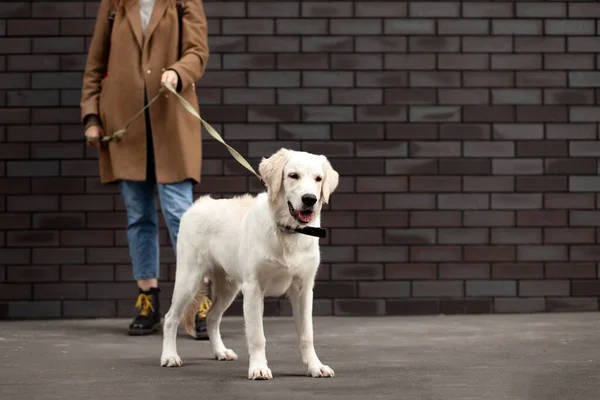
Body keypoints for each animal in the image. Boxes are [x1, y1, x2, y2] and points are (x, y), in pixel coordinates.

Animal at [161, 148, 338, 380]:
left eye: (318, 179)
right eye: (293, 175)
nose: (310, 199)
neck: (287, 231)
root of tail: (198, 204)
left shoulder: (303, 289)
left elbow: (307, 334)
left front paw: (315, 366)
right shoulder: (254, 288)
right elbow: (256, 336)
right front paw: (259, 368)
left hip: (229, 287)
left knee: (212, 317)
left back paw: (220, 352)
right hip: (188, 279)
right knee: (171, 317)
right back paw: (169, 356)